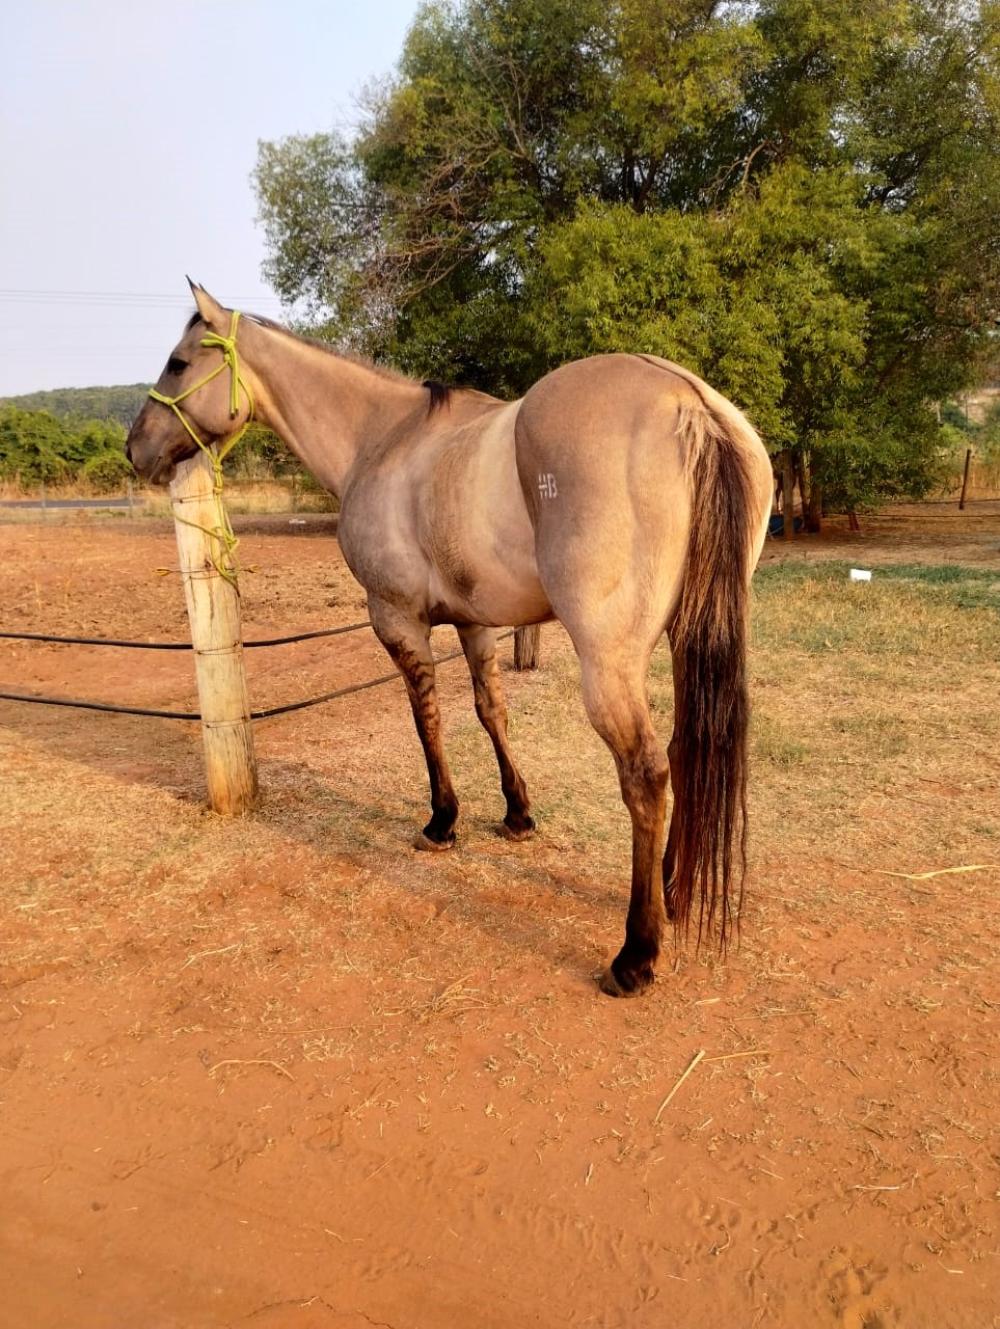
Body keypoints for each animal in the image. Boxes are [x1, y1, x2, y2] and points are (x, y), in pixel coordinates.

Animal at [125, 280, 774, 997]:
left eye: (178, 363)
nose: (135, 449)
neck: (380, 439)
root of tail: (690, 403)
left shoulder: (397, 619)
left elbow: (426, 718)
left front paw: (442, 820)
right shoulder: (474, 623)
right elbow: (492, 712)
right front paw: (517, 814)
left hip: (610, 663)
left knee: (646, 774)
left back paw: (637, 952)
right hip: (688, 637)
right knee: (687, 750)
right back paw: (674, 889)